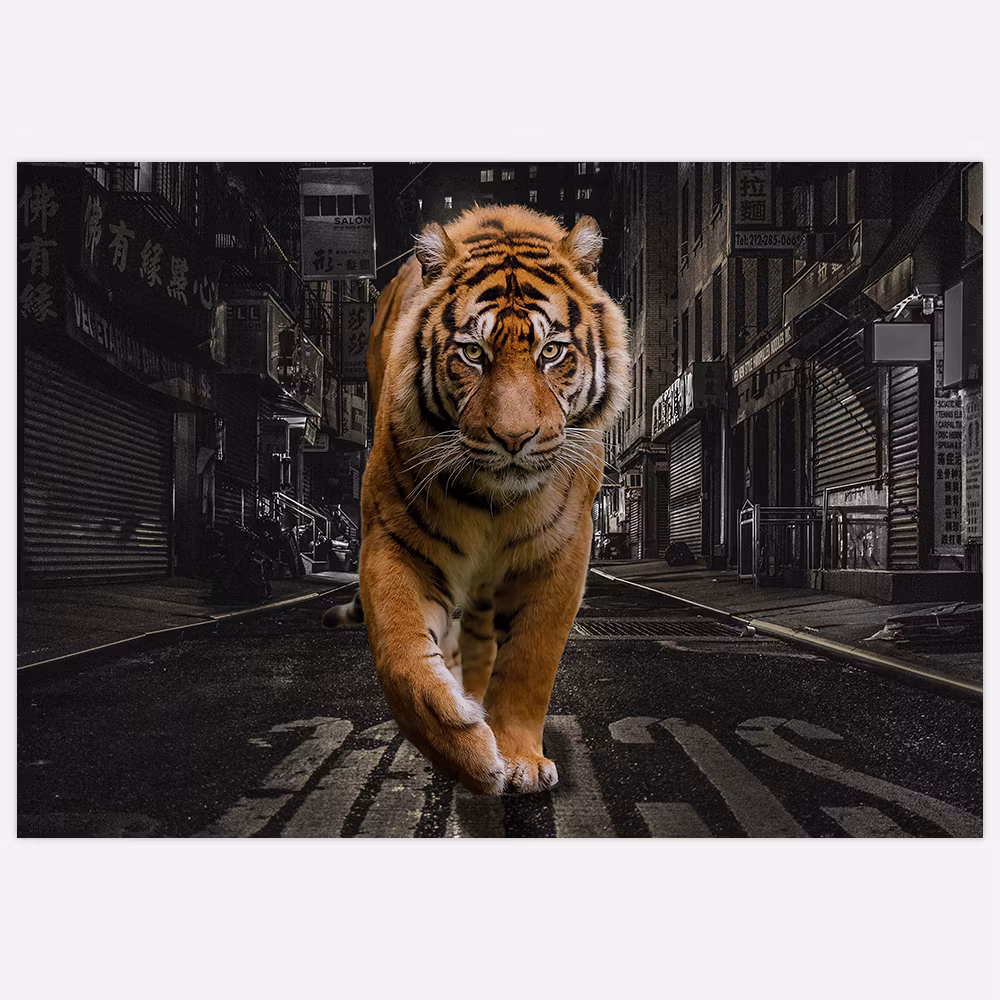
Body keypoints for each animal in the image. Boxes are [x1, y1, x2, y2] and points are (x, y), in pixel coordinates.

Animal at [323, 205, 629, 795]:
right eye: (472, 353)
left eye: (551, 351)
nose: (514, 438)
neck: (496, 504)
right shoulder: (394, 541)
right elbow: (402, 656)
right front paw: (466, 747)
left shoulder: (561, 553)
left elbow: (529, 659)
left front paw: (518, 757)